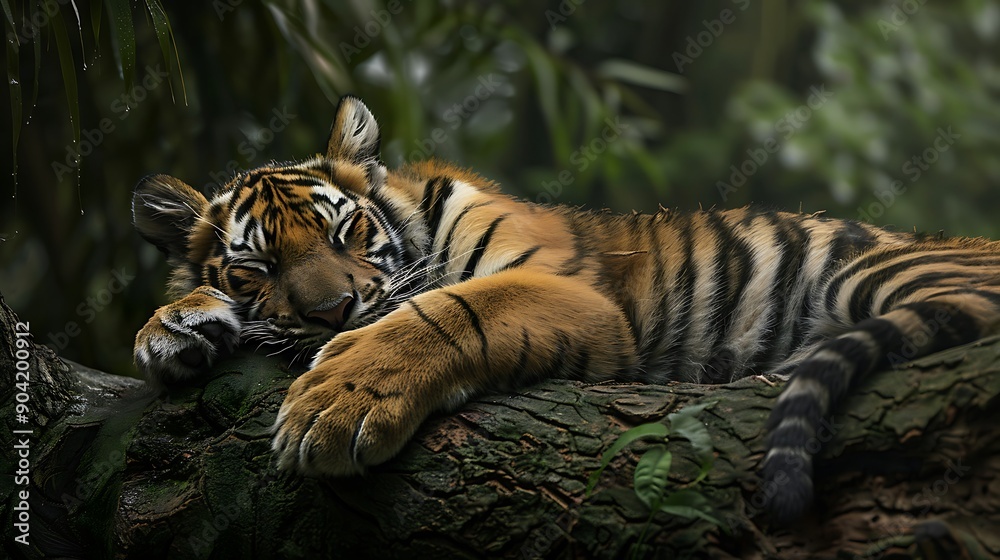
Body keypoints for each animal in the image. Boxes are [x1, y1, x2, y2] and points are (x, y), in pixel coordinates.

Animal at [132, 95, 1000, 523]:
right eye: (256, 268)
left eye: (347, 232)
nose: (334, 310)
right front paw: (171, 326)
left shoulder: (568, 289)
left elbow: (450, 311)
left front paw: (337, 402)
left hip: (873, 272)